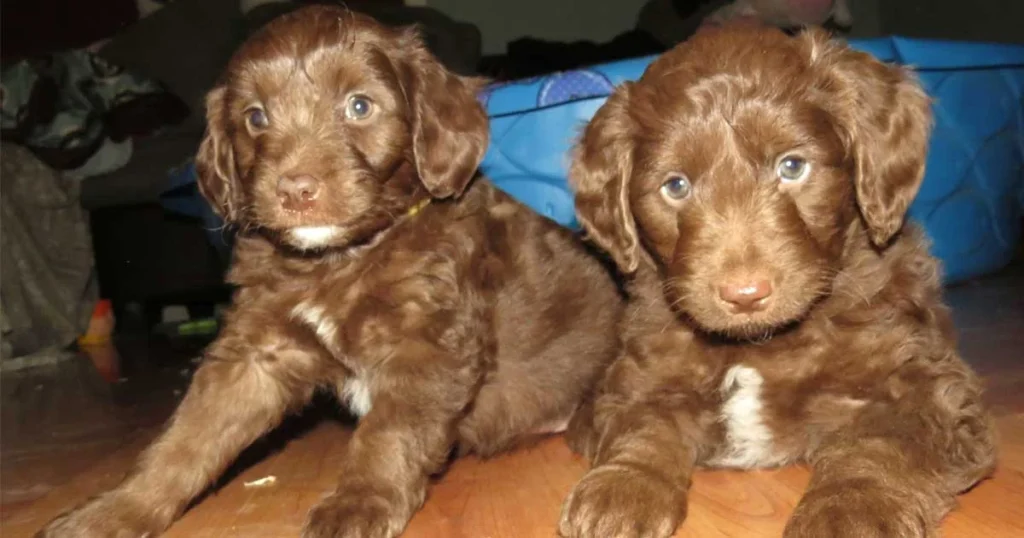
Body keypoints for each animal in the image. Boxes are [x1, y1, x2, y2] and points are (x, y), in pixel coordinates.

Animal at [37, 5, 622, 536]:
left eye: (359, 105)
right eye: (255, 117)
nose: (296, 190)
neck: (339, 261)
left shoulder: (429, 347)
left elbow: (386, 435)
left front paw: (357, 504)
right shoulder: (255, 355)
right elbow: (187, 438)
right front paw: (113, 511)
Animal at [557, 25, 995, 536]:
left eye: (792, 166)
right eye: (676, 186)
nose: (745, 295)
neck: (759, 345)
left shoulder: (920, 375)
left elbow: (881, 439)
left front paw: (854, 506)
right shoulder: (644, 370)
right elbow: (642, 423)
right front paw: (623, 486)